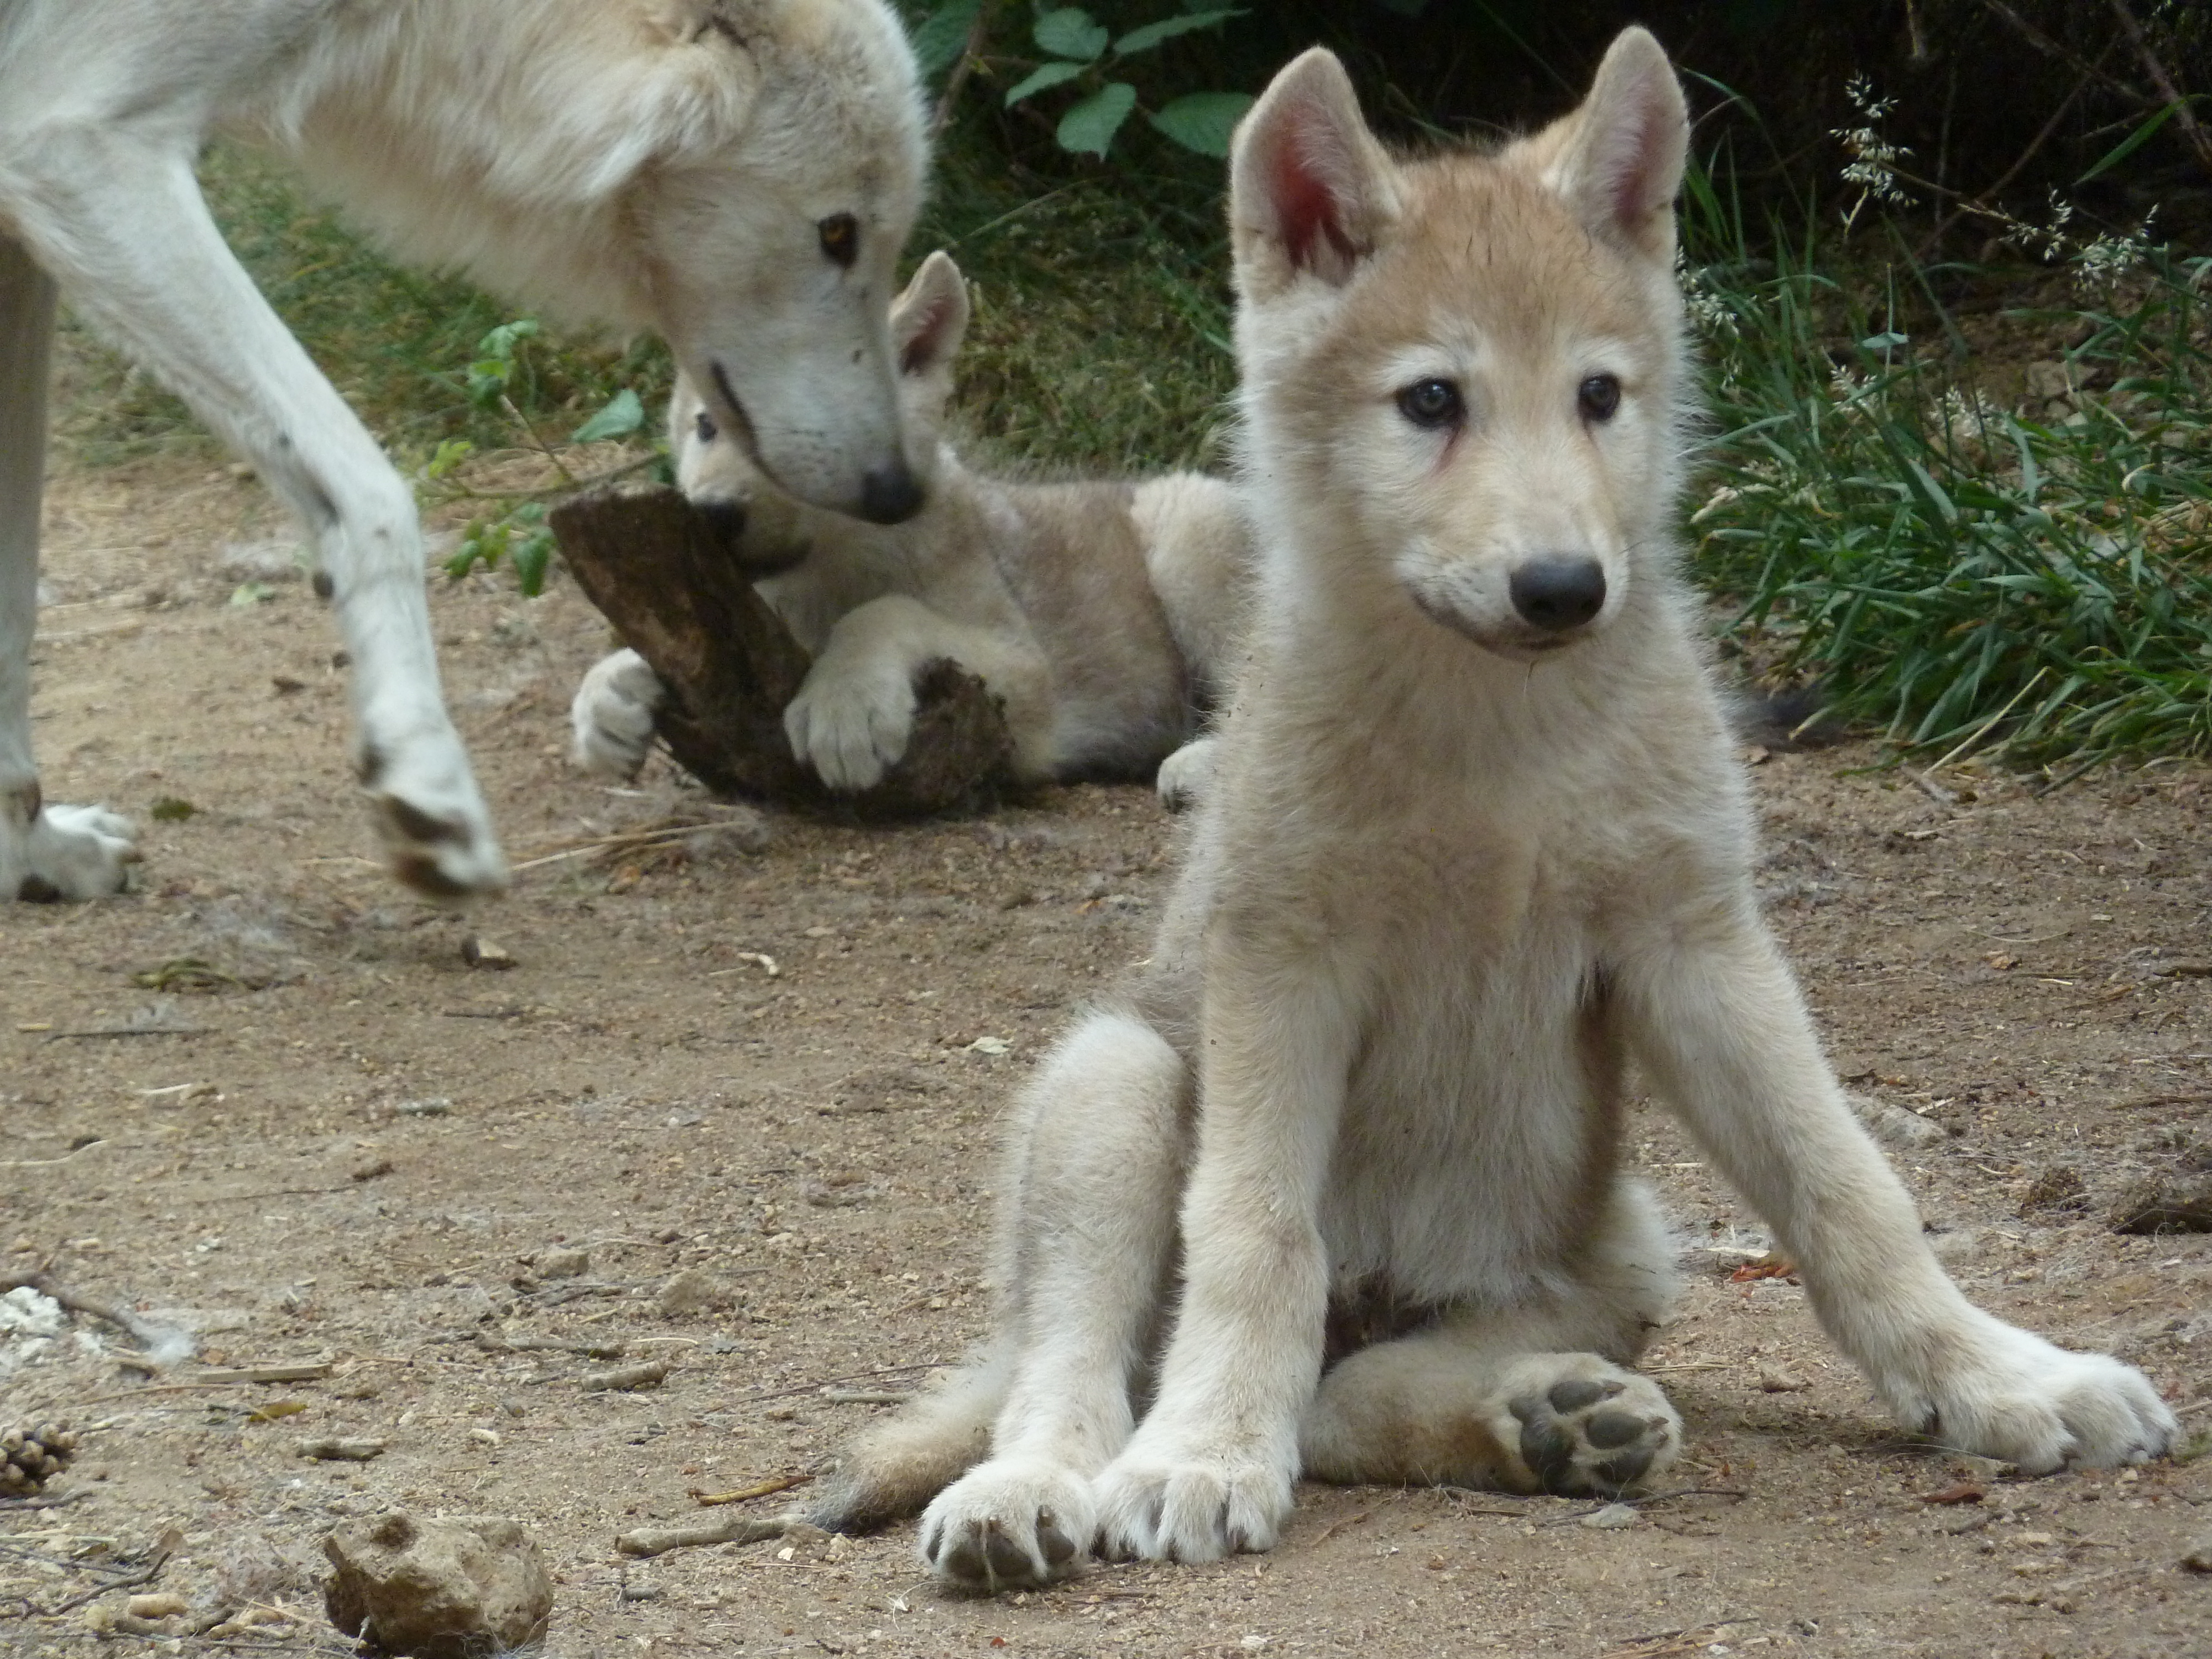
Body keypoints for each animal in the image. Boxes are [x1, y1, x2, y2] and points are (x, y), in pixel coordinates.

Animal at [0, 0, 925, 902]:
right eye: (838, 234)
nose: (900, 492)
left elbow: (17, 601)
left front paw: (36, 858)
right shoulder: (77, 138)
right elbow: (375, 497)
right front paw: (426, 781)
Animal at [571, 250, 1256, 801]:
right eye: (707, 424)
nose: (712, 511)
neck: (829, 573)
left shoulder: (1027, 676)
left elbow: (888, 612)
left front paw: (846, 708)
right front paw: (606, 702)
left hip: (1186, 521)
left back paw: (1198, 768)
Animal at [805, 23, 2168, 1584]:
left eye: (1598, 396)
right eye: (1430, 402)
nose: (1562, 588)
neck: (1493, 744)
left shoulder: (1698, 949)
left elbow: (1850, 1195)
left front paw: (2005, 1381)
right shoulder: (1283, 963)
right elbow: (1254, 1233)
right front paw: (1204, 1451)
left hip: (1614, 1255)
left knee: (1347, 1401)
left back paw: (1551, 1422)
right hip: (1116, 1083)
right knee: (1081, 1368)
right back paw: (1037, 1489)